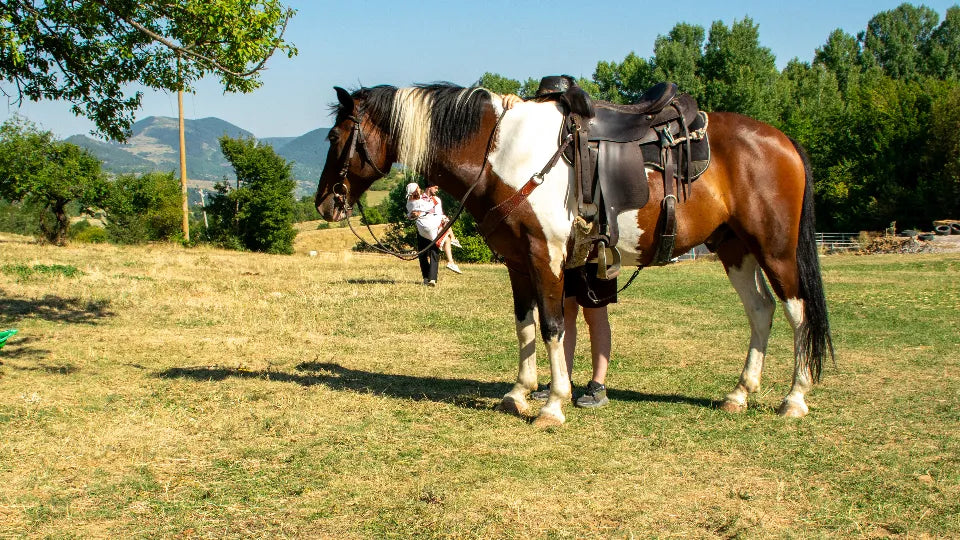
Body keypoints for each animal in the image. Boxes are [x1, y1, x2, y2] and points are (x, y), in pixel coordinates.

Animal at [314, 83, 833, 427]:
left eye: (335, 138)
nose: (325, 204)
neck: (503, 152)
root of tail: (782, 140)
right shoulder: (518, 262)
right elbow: (525, 324)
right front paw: (519, 392)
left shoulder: (545, 255)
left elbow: (551, 326)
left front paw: (553, 404)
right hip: (735, 247)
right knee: (760, 310)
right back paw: (740, 393)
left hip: (774, 249)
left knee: (797, 312)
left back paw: (795, 398)